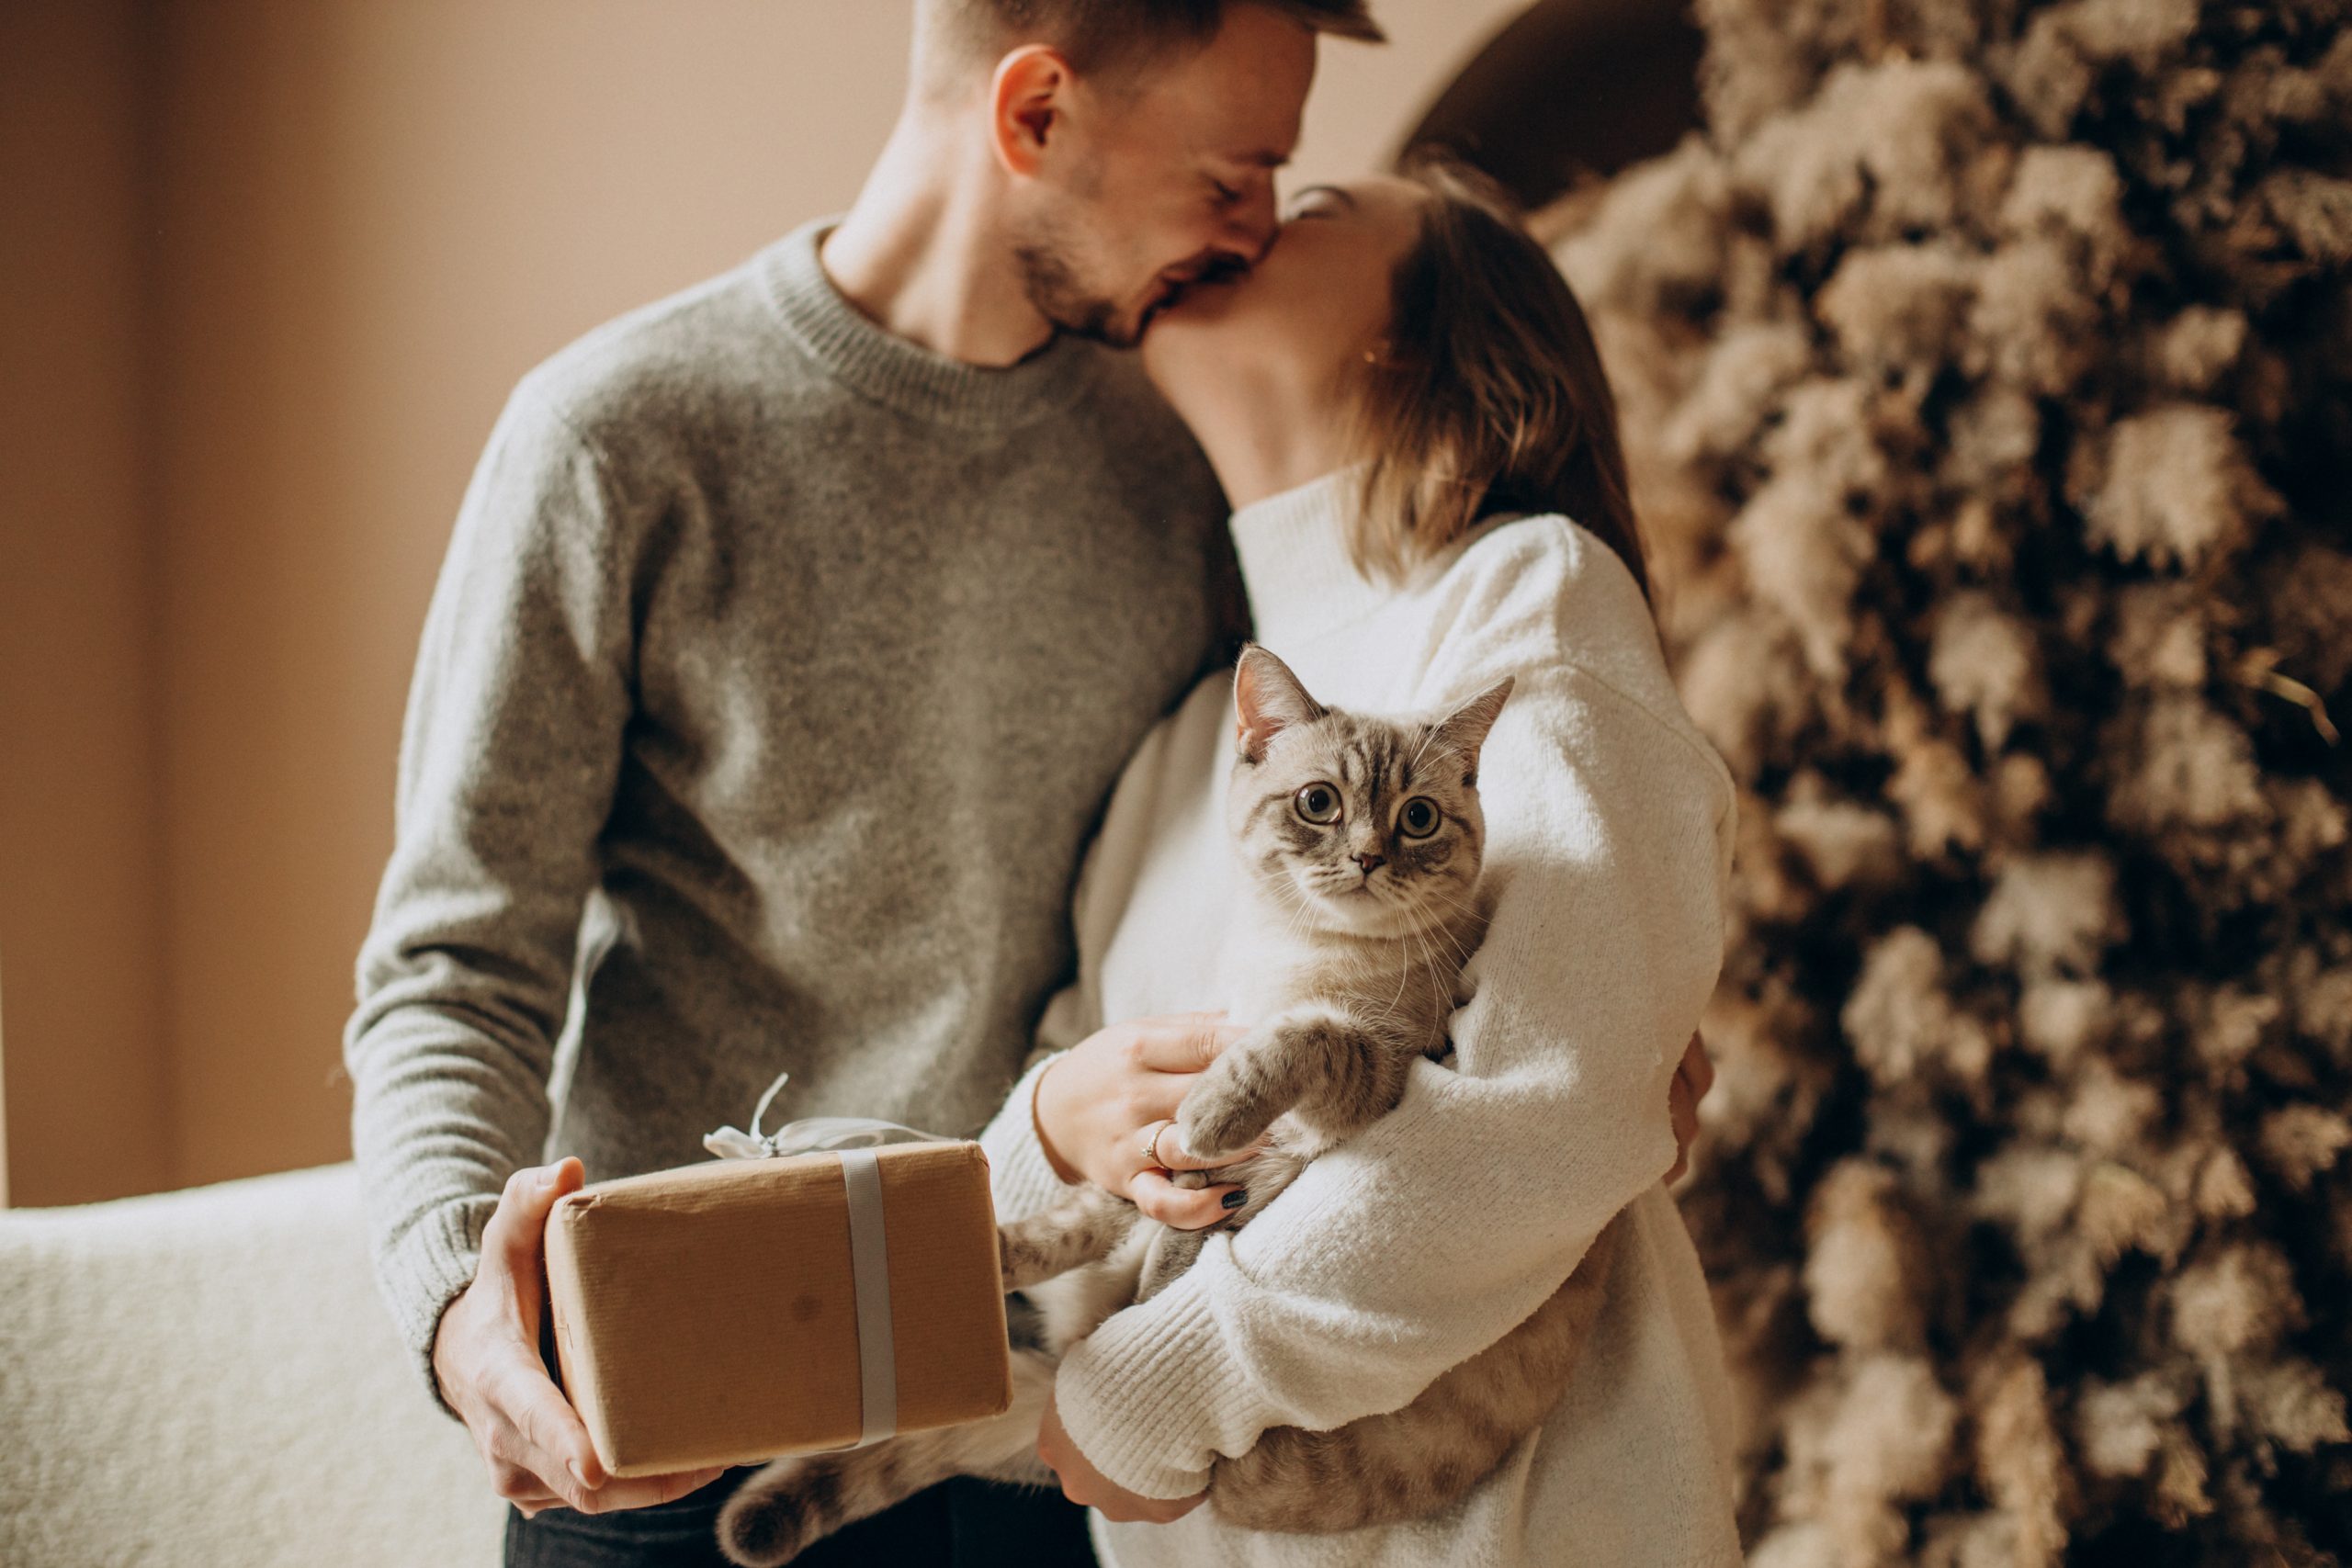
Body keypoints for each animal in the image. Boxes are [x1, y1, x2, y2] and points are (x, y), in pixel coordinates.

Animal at [715, 644, 1627, 1561]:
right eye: (1320, 803)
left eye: (1419, 818)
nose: (1369, 856)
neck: (1298, 954)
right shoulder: (1166, 1155)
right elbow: (1100, 1209)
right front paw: (1004, 1245)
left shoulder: (1368, 1079)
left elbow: (1288, 1051)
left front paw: (1216, 1111)